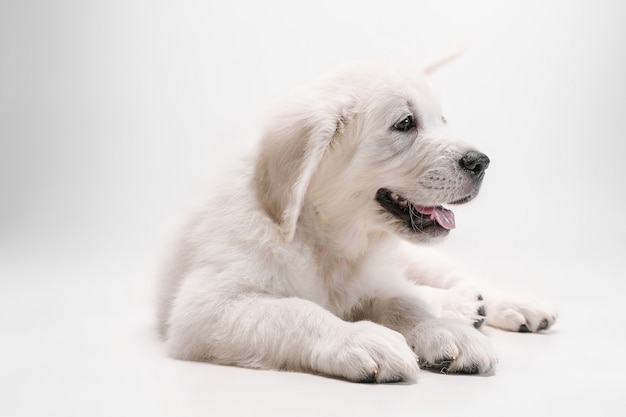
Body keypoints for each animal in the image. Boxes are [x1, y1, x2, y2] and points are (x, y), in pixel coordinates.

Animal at [156, 57, 556, 382]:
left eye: (442, 121)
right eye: (405, 123)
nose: (481, 162)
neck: (327, 238)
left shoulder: (374, 279)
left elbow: (403, 303)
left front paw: (444, 329)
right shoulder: (206, 307)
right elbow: (297, 311)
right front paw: (361, 337)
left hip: (418, 257)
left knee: (456, 278)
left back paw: (507, 306)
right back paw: (465, 307)